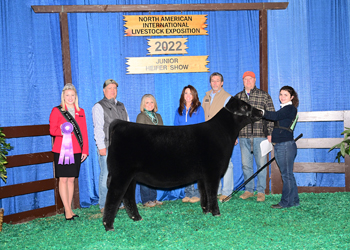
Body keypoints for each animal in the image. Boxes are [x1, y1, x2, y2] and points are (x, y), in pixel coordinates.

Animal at [104, 96, 262, 231]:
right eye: (245, 106)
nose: (261, 111)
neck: (222, 132)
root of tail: (120, 123)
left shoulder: (203, 175)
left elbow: (204, 193)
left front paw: (206, 211)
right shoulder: (213, 172)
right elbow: (212, 193)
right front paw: (216, 213)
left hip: (130, 176)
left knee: (128, 196)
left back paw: (136, 218)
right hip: (120, 174)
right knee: (113, 196)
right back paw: (108, 226)